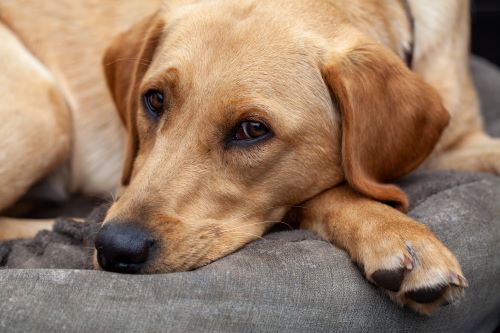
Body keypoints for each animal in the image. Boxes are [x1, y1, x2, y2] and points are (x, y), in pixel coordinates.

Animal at [0, 0, 500, 314]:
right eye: (155, 100)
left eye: (252, 130)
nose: (115, 248)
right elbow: (330, 193)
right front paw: (393, 231)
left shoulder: (459, 141)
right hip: (45, 111)